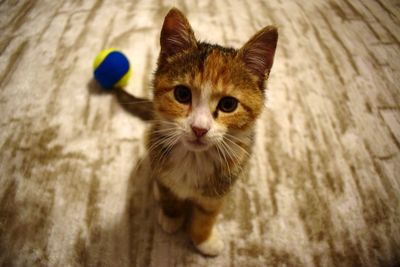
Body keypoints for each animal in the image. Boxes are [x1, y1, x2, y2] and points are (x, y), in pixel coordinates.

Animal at [147, 7, 278, 256]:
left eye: (228, 105)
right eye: (182, 94)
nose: (199, 128)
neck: (193, 159)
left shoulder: (218, 191)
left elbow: (206, 216)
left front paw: (203, 240)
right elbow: (169, 192)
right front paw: (171, 216)